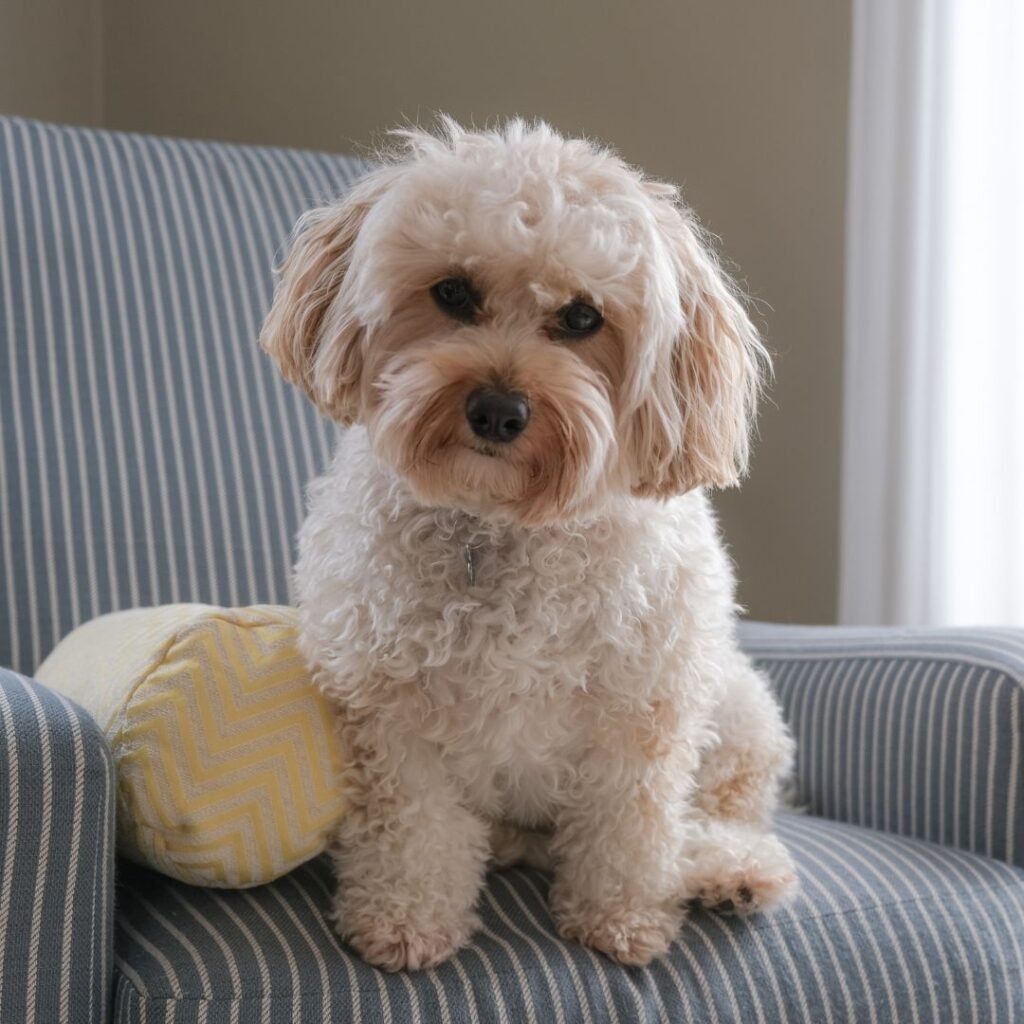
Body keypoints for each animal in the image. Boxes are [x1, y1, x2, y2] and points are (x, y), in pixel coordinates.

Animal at [258, 117, 798, 966]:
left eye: (582, 317)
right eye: (453, 291)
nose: (498, 411)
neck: (504, 524)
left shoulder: (643, 712)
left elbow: (631, 827)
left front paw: (622, 915)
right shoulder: (391, 714)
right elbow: (415, 830)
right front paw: (405, 917)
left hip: (738, 712)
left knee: (717, 815)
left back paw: (728, 872)